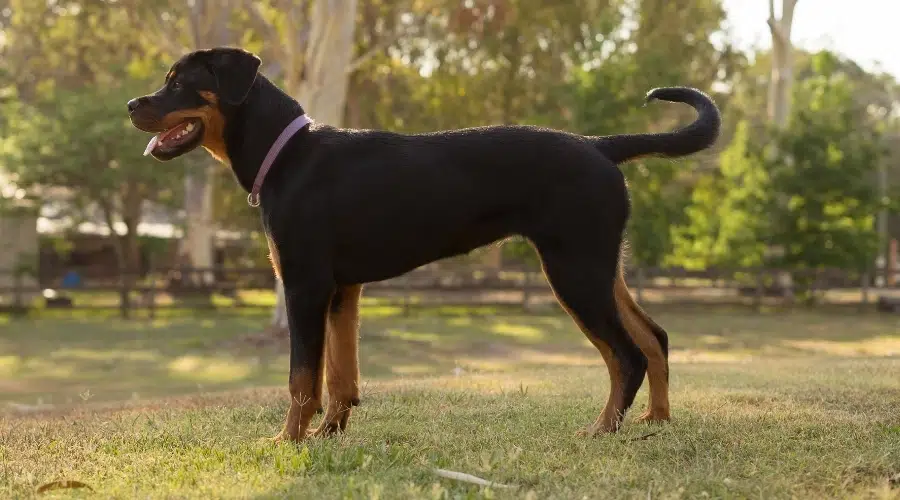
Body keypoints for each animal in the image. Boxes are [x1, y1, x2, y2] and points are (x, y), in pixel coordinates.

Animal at [126, 47, 720, 444]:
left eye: (178, 83)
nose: (132, 104)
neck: (287, 153)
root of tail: (600, 147)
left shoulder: (304, 286)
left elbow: (302, 377)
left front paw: (288, 441)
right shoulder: (342, 290)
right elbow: (342, 374)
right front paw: (329, 434)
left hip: (573, 271)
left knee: (625, 355)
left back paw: (601, 430)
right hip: (599, 267)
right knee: (655, 338)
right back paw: (656, 422)